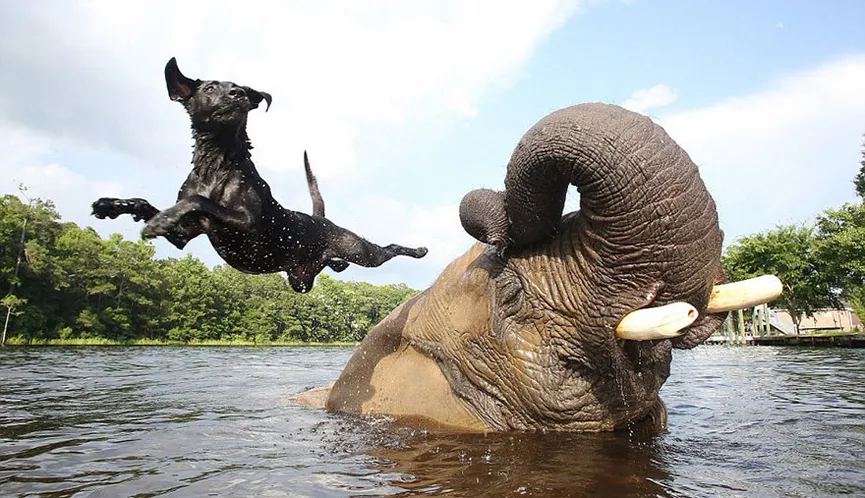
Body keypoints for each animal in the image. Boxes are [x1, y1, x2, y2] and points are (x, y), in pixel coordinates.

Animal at [93, 57, 426, 292]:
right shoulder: (183, 236)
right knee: (325, 269)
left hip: (359, 250)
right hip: (300, 280)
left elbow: (199, 201)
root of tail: (320, 220)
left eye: (237, 87)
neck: (216, 162)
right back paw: (338, 265)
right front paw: (113, 206)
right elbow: (150, 203)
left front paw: (157, 220)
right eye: (210, 87)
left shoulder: (246, 223)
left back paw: (417, 250)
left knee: (387, 249)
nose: (238, 93)